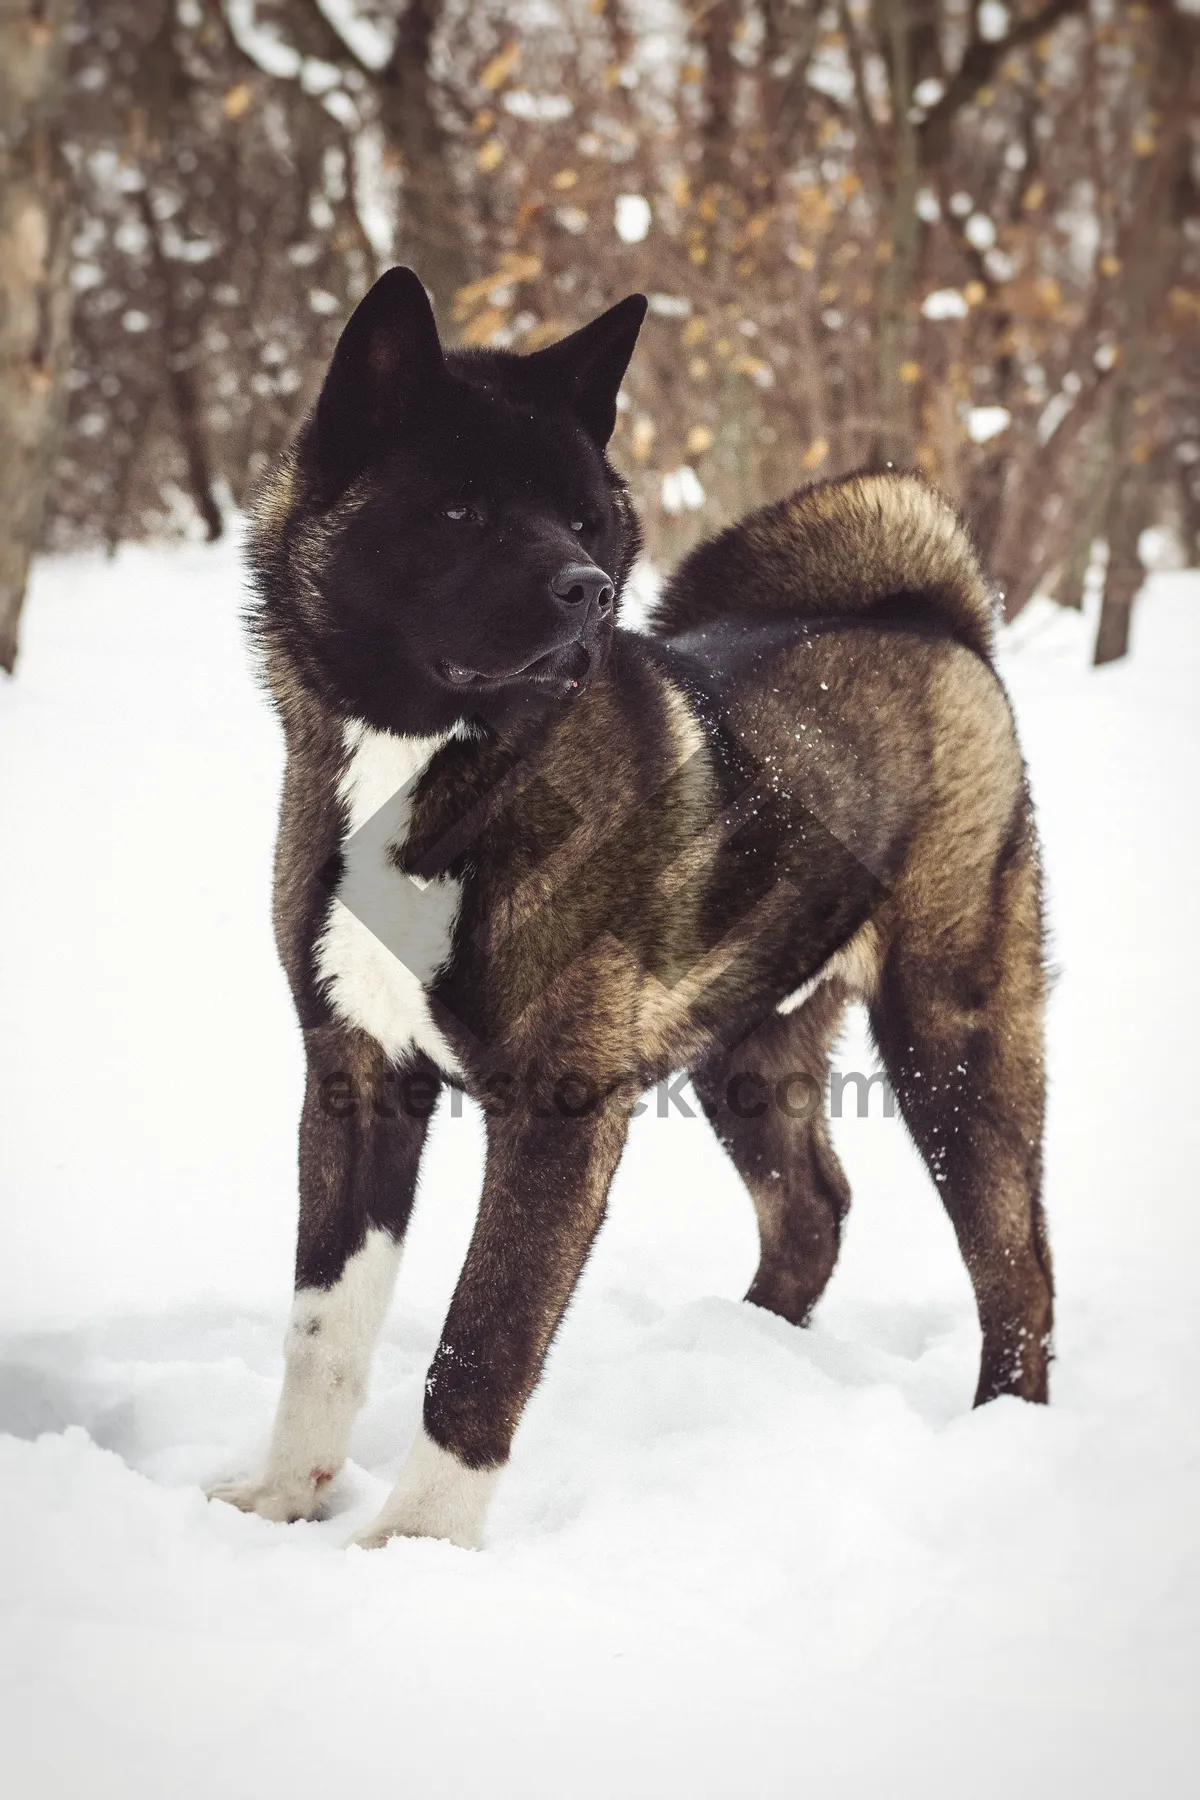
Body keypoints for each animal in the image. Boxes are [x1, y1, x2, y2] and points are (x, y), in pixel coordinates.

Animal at [211, 262, 1057, 1548]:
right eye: (458, 512)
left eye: (581, 518)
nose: (590, 589)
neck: (443, 770)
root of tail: (930, 618)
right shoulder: (354, 1077)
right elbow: (323, 1326)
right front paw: (283, 1503)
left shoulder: (558, 1114)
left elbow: (482, 1341)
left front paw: (421, 1545)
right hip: (747, 1053)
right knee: (813, 1211)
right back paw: (748, 1353)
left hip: (953, 1042)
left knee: (1017, 1267)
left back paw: (1006, 1436)